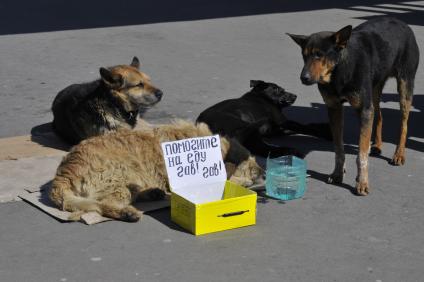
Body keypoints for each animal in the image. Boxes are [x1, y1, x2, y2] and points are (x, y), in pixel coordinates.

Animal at [49, 120, 262, 221]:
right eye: (250, 168)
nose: (263, 172)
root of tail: (62, 176)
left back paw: (152, 193)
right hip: (121, 175)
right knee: (105, 204)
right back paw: (127, 213)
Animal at [195, 80, 332, 158]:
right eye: (278, 89)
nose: (295, 95)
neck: (261, 96)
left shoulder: (276, 129)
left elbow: (309, 125)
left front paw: (326, 127)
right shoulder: (283, 121)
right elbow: (306, 127)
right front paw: (326, 134)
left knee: (265, 151)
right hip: (249, 130)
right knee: (267, 149)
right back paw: (291, 151)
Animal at [286, 17, 420, 194]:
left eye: (319, 55)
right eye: (304, 55)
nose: (304, 78)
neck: (339, 71)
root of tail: (400, 22)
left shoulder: (364, 109)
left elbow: (361, 154)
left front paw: (362, 182)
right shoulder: (334, 108)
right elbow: (338, 148)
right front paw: (337, 173)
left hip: (404, 85)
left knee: (404, 124)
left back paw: (399, 154)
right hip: (373, 90)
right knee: (379, 115)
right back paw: (377, 145)